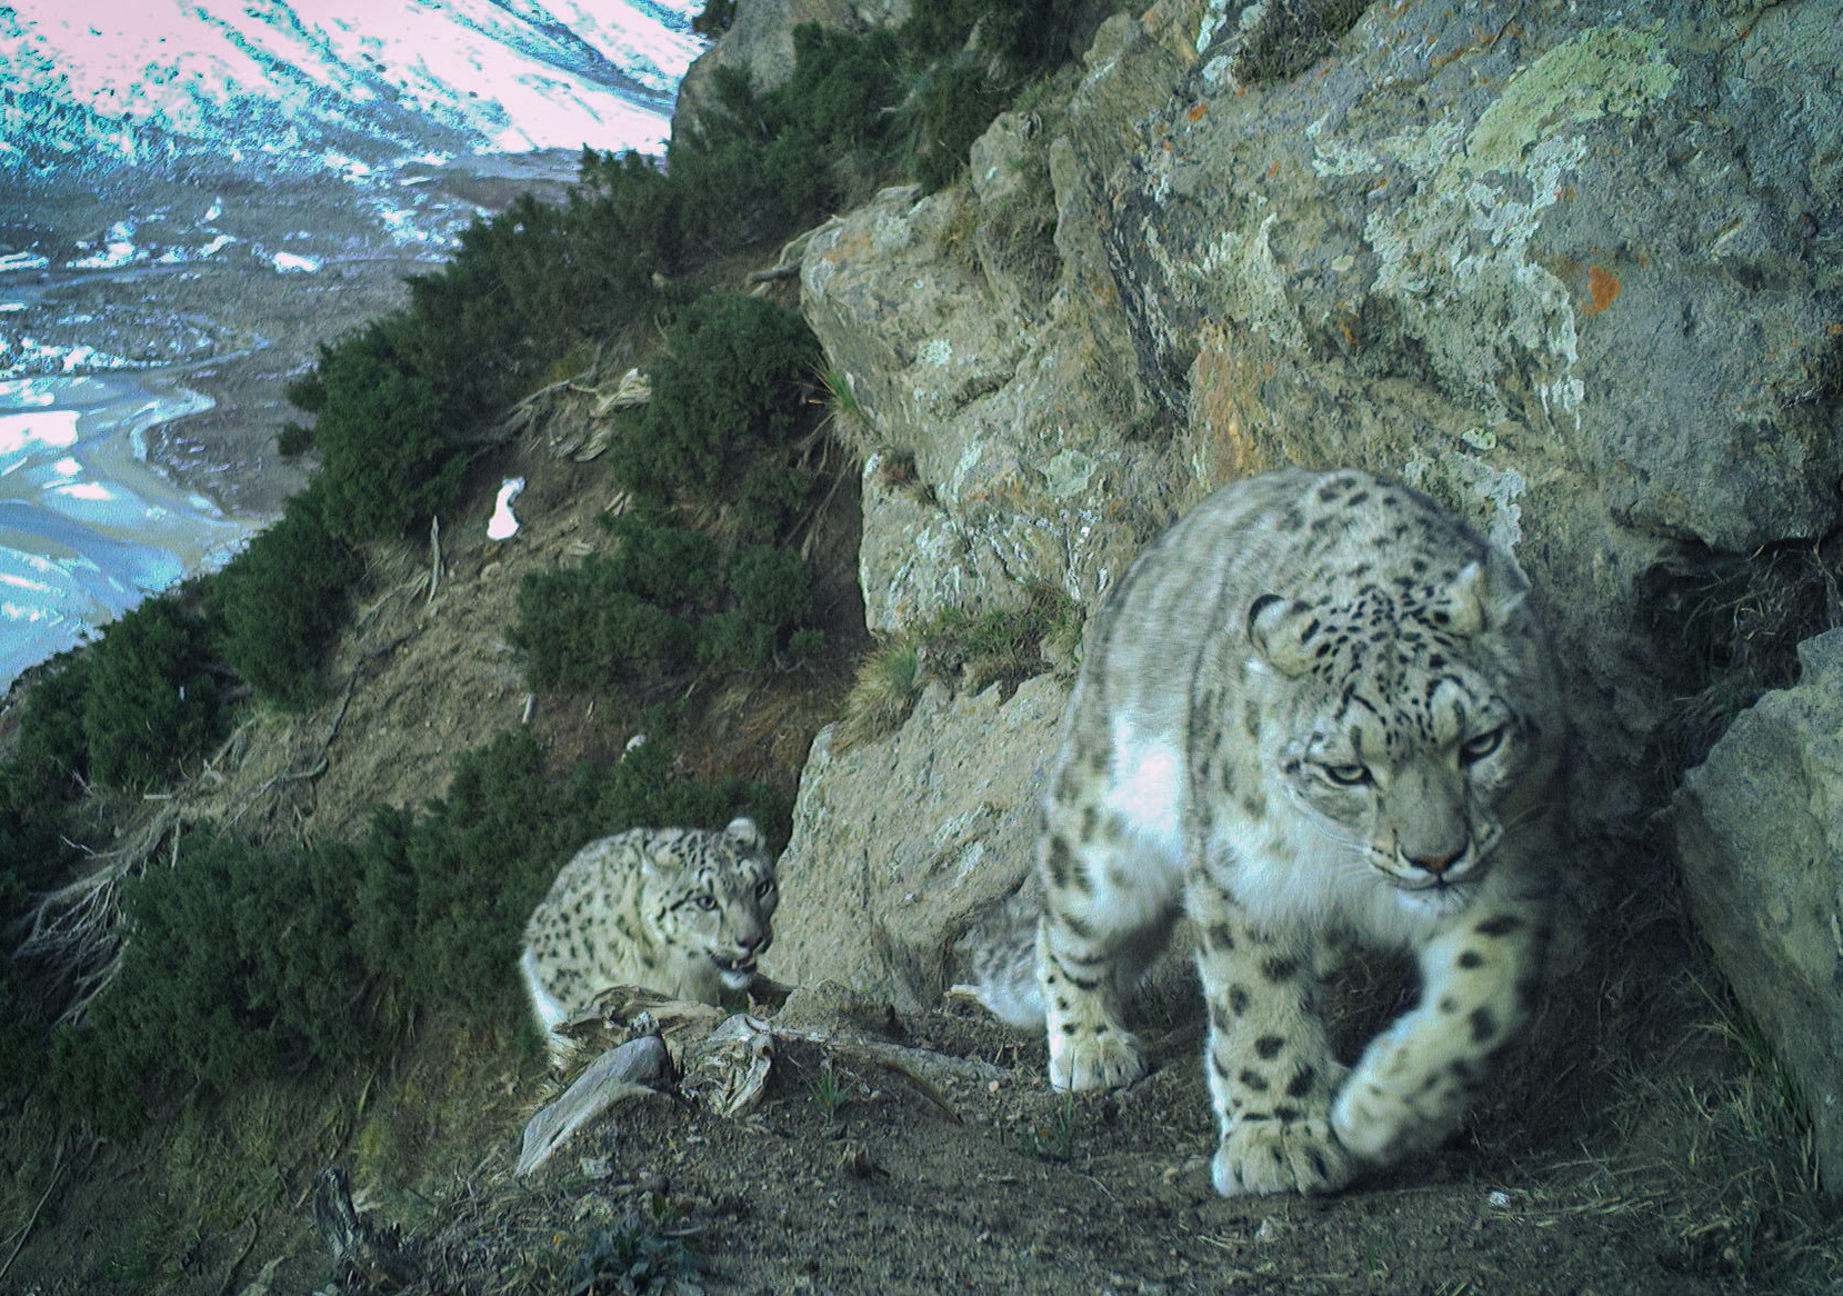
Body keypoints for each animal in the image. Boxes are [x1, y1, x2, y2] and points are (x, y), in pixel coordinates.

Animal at [969, 466, 1564, 1195]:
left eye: (1479, 743)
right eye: (1348, 770)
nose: (1437, 859)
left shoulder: (1515, 868)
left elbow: (1485, 1002)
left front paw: (1384, 1108)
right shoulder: (1246, 876)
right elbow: (1257, 1003)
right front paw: (1276, 1142)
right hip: (1104, 846)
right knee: (1064, 929)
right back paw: (1090, 1045)